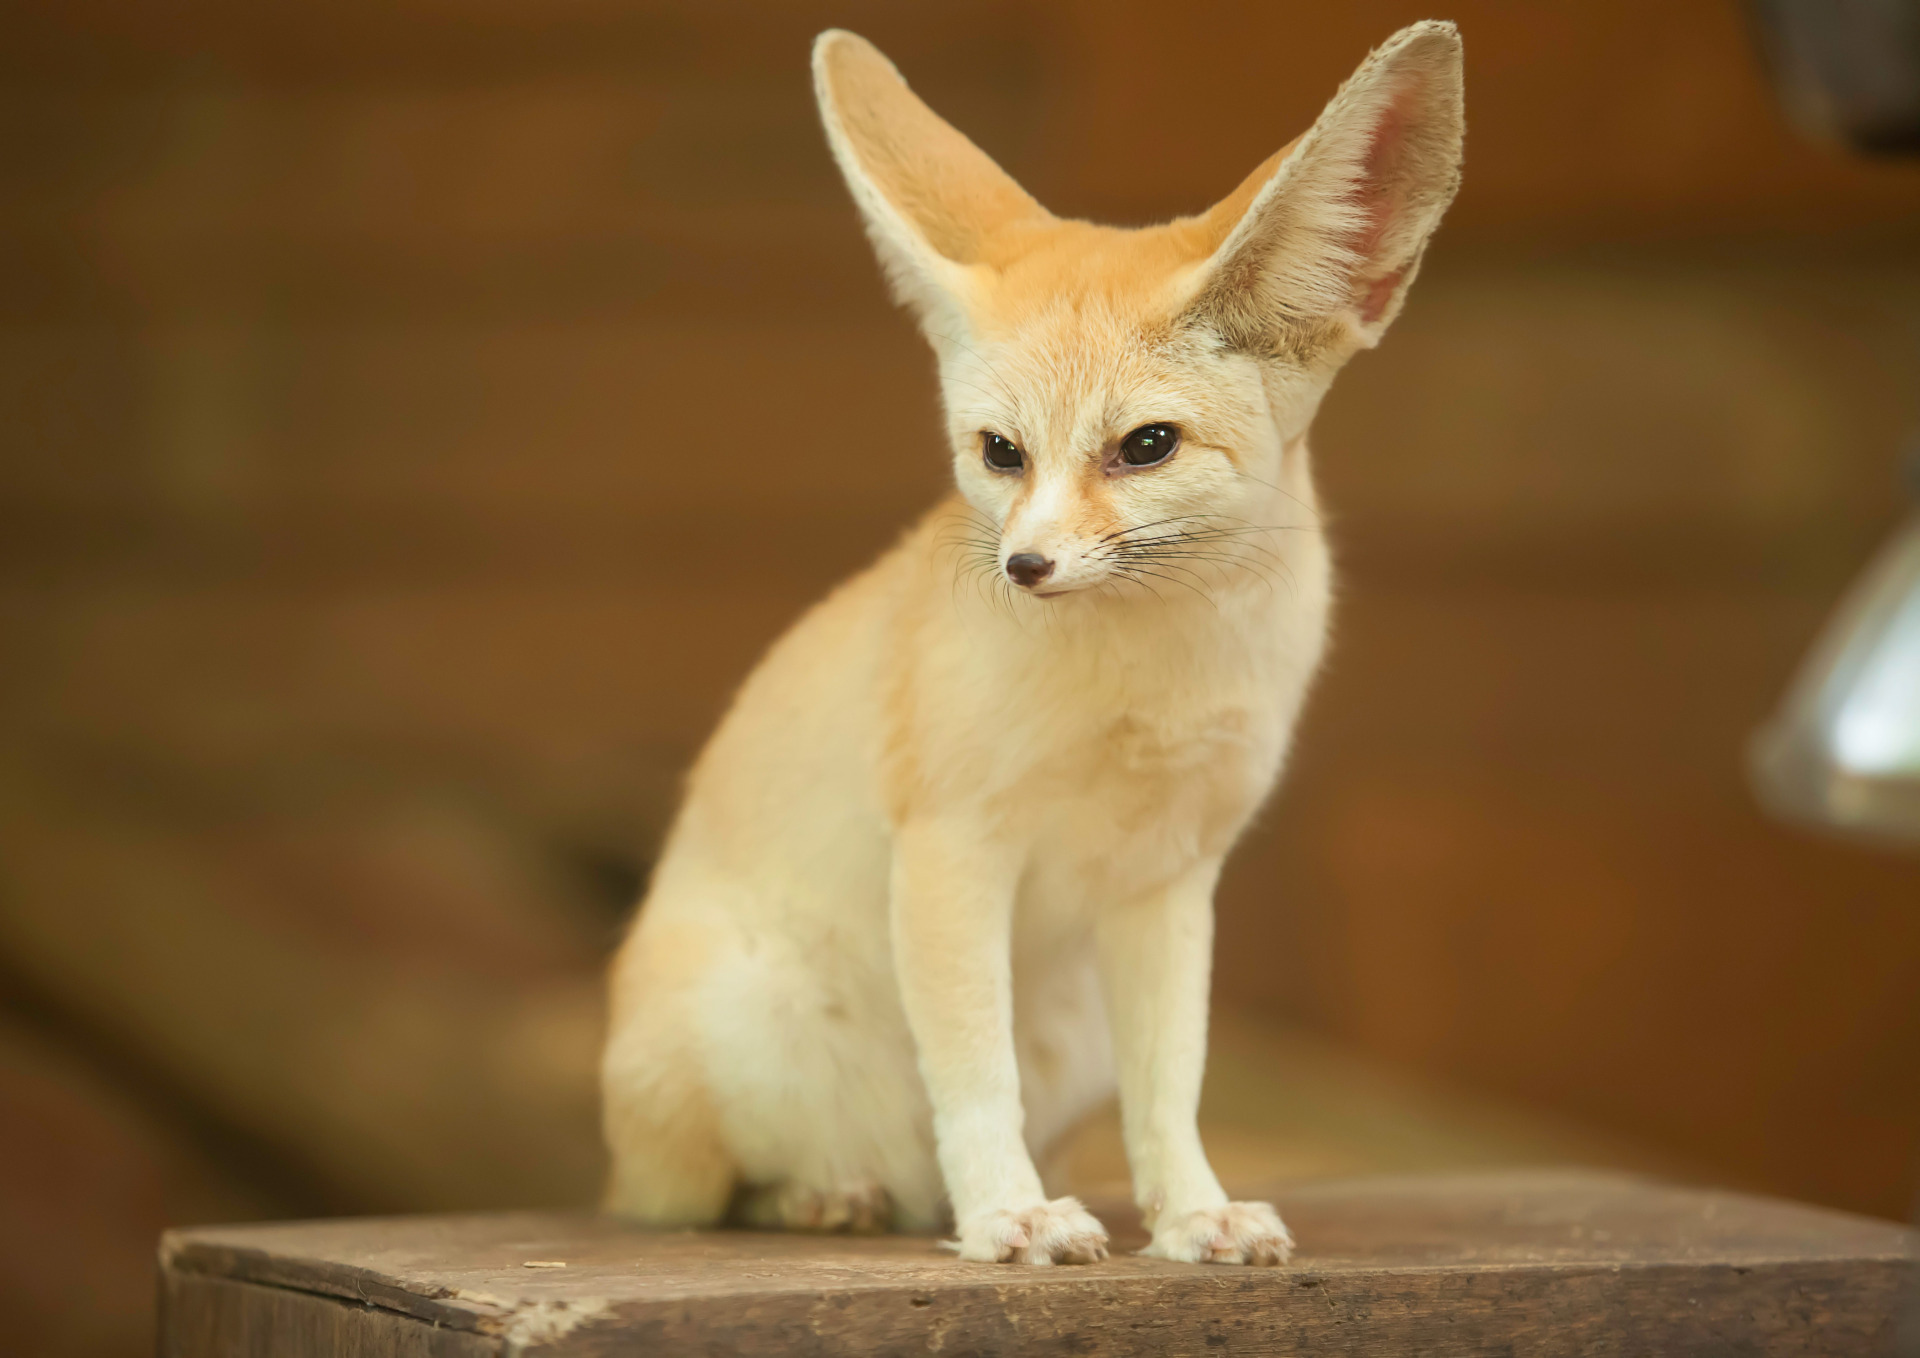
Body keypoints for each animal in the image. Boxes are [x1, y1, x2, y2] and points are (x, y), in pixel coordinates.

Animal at [606, 21, 1459, 1267]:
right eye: (1000, 451)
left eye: (1146, 445)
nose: (1026, 565)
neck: (1149, 677)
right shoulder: (953, 844)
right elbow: (972, 1070)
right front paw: (1008, 1212)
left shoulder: (1170, 878)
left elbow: (1173, 1080)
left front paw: (1191, 1212)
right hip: (741, 1032)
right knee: (700, 1195)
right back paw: (831, 1195)